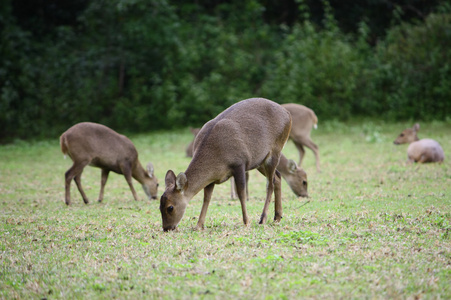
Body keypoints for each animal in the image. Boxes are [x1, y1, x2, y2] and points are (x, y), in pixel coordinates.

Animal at [160, 97, 294, 231]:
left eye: (170, 207)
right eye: (159, 207)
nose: (167, 228)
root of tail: (288, 114)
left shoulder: (239, 163)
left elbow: (241, 193)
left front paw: (246, 222)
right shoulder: (212, 178)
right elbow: (206, 198)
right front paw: (199, 225)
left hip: (275, 149)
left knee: (270, 184)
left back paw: (263, 218)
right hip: (260, 161)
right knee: (278, 176)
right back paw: (277, 217)